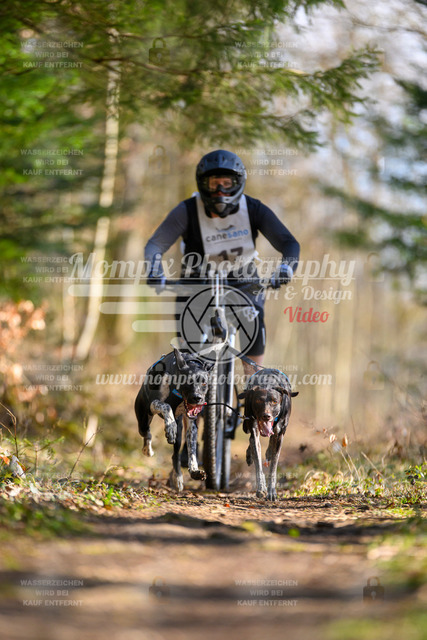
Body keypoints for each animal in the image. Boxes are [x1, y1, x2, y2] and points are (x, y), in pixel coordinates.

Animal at [135, 348, 213, 491]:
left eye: (204, 382)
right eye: (188, 381)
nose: (197, 398)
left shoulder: (191, 423)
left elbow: (192, 450)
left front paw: (195, 471)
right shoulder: (153, 403)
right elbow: (166, 406)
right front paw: (170, 427)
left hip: (179, 431)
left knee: (175, 454)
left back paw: (178, 478)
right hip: (143, 418)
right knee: (147, 433)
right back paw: (148, 450)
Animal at [238, 368, 298, 501]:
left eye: (275, 401)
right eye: (258, 400)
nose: (266, 416)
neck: (268, 383)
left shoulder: (280, 435)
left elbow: (273, 466)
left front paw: (272, 491)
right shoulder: (254, 429)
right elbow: (258, 460)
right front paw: (261, 488)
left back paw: (268, 452)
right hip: (247, 424)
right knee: (251, 441)